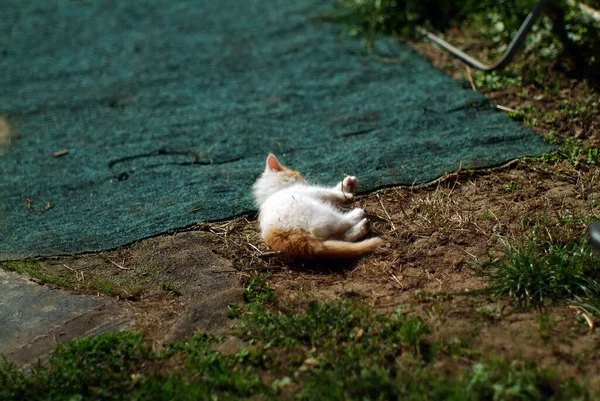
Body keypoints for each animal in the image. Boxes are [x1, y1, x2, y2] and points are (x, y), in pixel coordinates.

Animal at [251, 153, 382, 260]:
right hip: (318, 211)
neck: (272, 193)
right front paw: (347, 195)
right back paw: (357, 215)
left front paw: (347, 184)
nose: (304, 179)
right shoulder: (313, 192)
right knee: (342, 223)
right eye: (297, 174)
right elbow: (330, 193)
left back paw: (362, 227)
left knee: (339, 237)